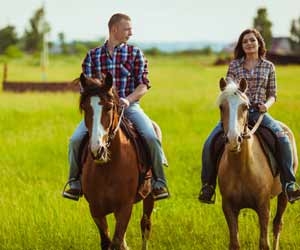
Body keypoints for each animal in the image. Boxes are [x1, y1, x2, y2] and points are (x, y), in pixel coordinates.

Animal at [78, 73, 155, 250]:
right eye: (85, 108)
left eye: (109, 107)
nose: (97, 150)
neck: (107, 168)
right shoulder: (96, 209)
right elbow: (107, 242)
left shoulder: (125, 207)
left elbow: (117, 242)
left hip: (150, 195)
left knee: (145, 225)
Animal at [216, 78, 298, 250]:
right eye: (221, 106)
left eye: (245, 107)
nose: (233, 140)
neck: (241, 168)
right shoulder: (228, 207)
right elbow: (235, 243)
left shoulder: (263, 206)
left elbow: (264, 244)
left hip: (284, 194)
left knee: (278, 224)